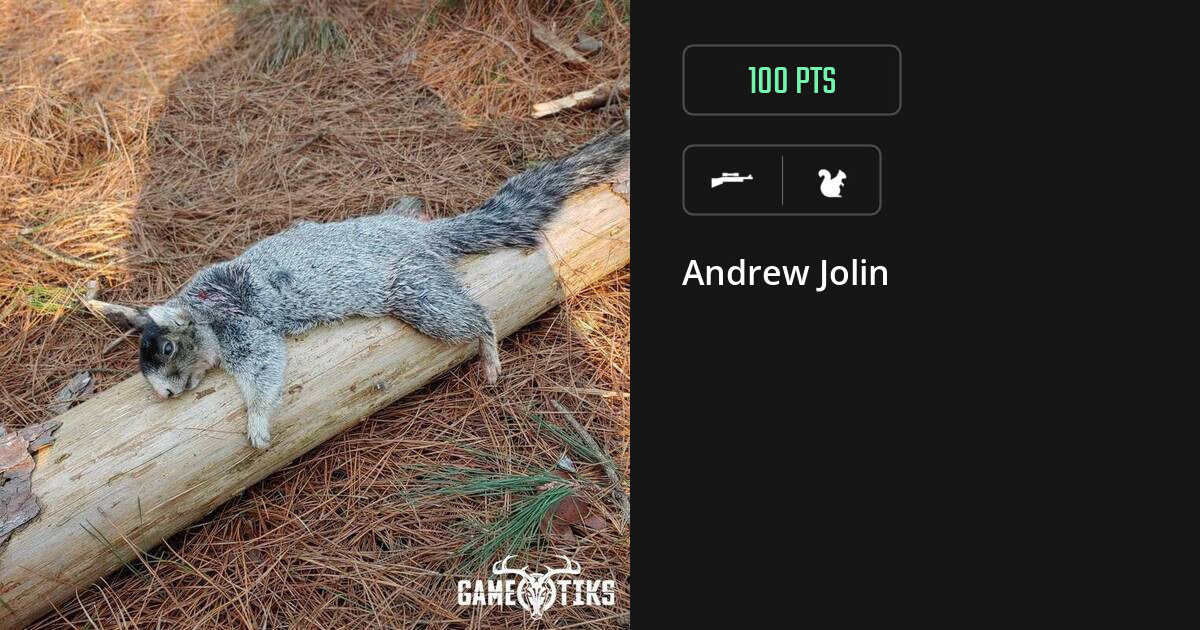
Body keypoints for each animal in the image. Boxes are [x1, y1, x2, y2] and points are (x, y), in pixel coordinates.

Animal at [110, 131, 629, 450]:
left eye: (168, 348)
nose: (163, 394)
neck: (201, 305)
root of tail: (424, 236)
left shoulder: (243, 326)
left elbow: (263, 366)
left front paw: (256, 423)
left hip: (417, 291)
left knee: (476, 317)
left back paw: (488, 352)